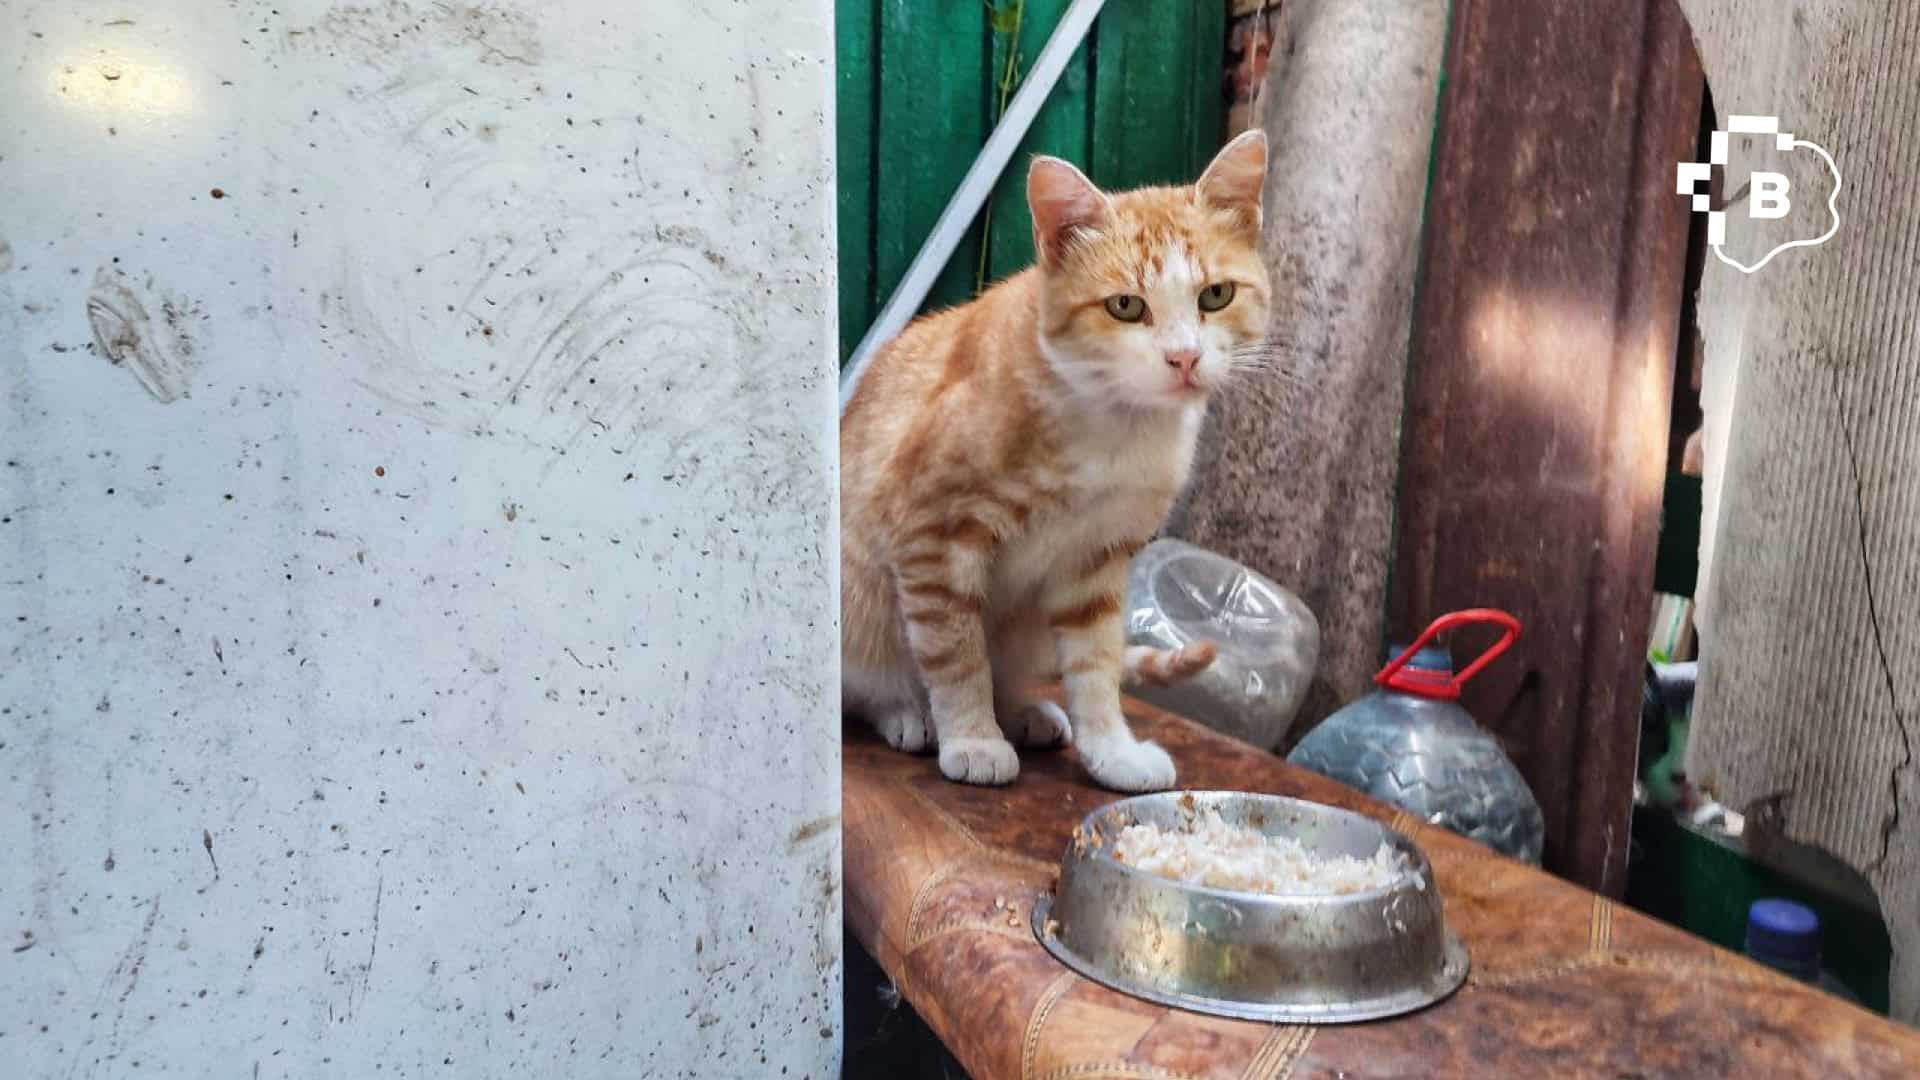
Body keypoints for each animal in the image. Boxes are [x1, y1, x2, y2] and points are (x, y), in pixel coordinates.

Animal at [844, 132, 1274, 791]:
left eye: (1216, 295)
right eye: (1125, 306)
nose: (1184, 358)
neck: (1116, 428)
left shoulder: (1095, 557)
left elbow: (1096, 665)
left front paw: (1113, 753)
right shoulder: (931, 536)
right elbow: (956, 651)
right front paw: (972, 737)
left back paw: (1024, 712)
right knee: (872, 681)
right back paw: (907, 713)